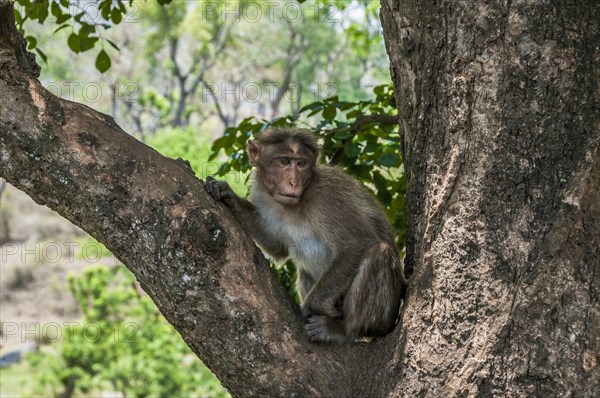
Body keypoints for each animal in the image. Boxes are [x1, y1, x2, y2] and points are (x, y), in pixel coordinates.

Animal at [206, 126, 408, 342]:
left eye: (301, 164)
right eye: (284, 161)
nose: (293, 182)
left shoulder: (327, 197)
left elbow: (356, 244)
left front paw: (312, 307)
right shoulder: (262, 197)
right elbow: (277, 247)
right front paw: (230, 197)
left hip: (386, 317)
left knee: (378, 253)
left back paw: (344, 330)